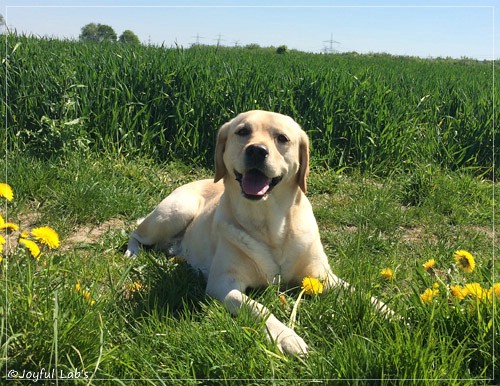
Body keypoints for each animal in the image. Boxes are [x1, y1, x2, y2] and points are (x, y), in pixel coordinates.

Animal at [126, 108, 390, 356]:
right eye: (242, 131)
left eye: (282, 138)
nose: (256, 151)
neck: (270, 225)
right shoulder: (223, 283)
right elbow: (256, 306)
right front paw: (287, 337)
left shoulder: (321, 276)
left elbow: (359, 293)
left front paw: (390, 313)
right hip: (177, 210)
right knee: (135, 233)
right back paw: (132, 253)